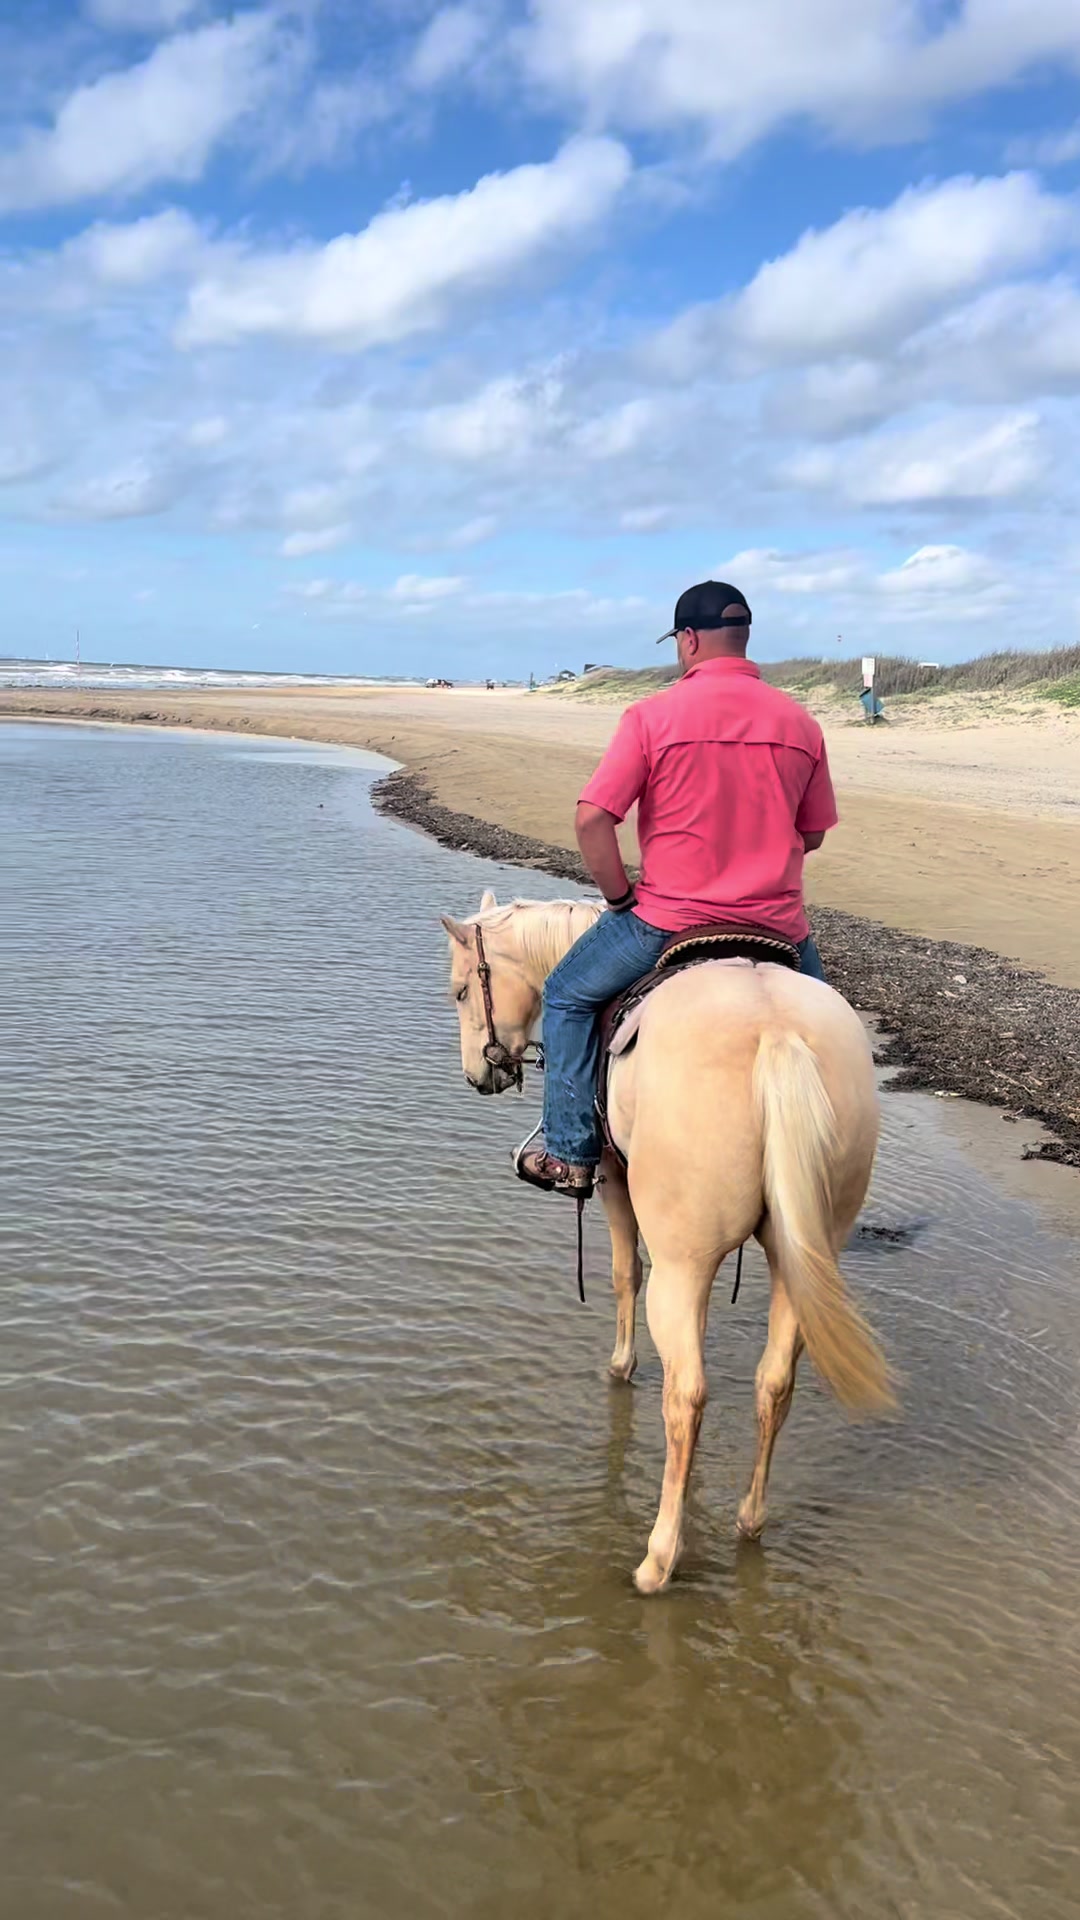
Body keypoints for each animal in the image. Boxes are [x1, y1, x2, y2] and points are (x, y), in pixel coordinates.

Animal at [441, 890, 892, 1593]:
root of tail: (776, 1033)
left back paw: (659, 1558)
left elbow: (626, 1272)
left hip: (684, 1261)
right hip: (805, 1255)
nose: (477, 1076)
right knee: (772, 1384)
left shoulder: (614, 1179)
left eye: (462, 990)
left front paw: (620, 1365)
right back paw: (748, 1520)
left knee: (685, 1397)